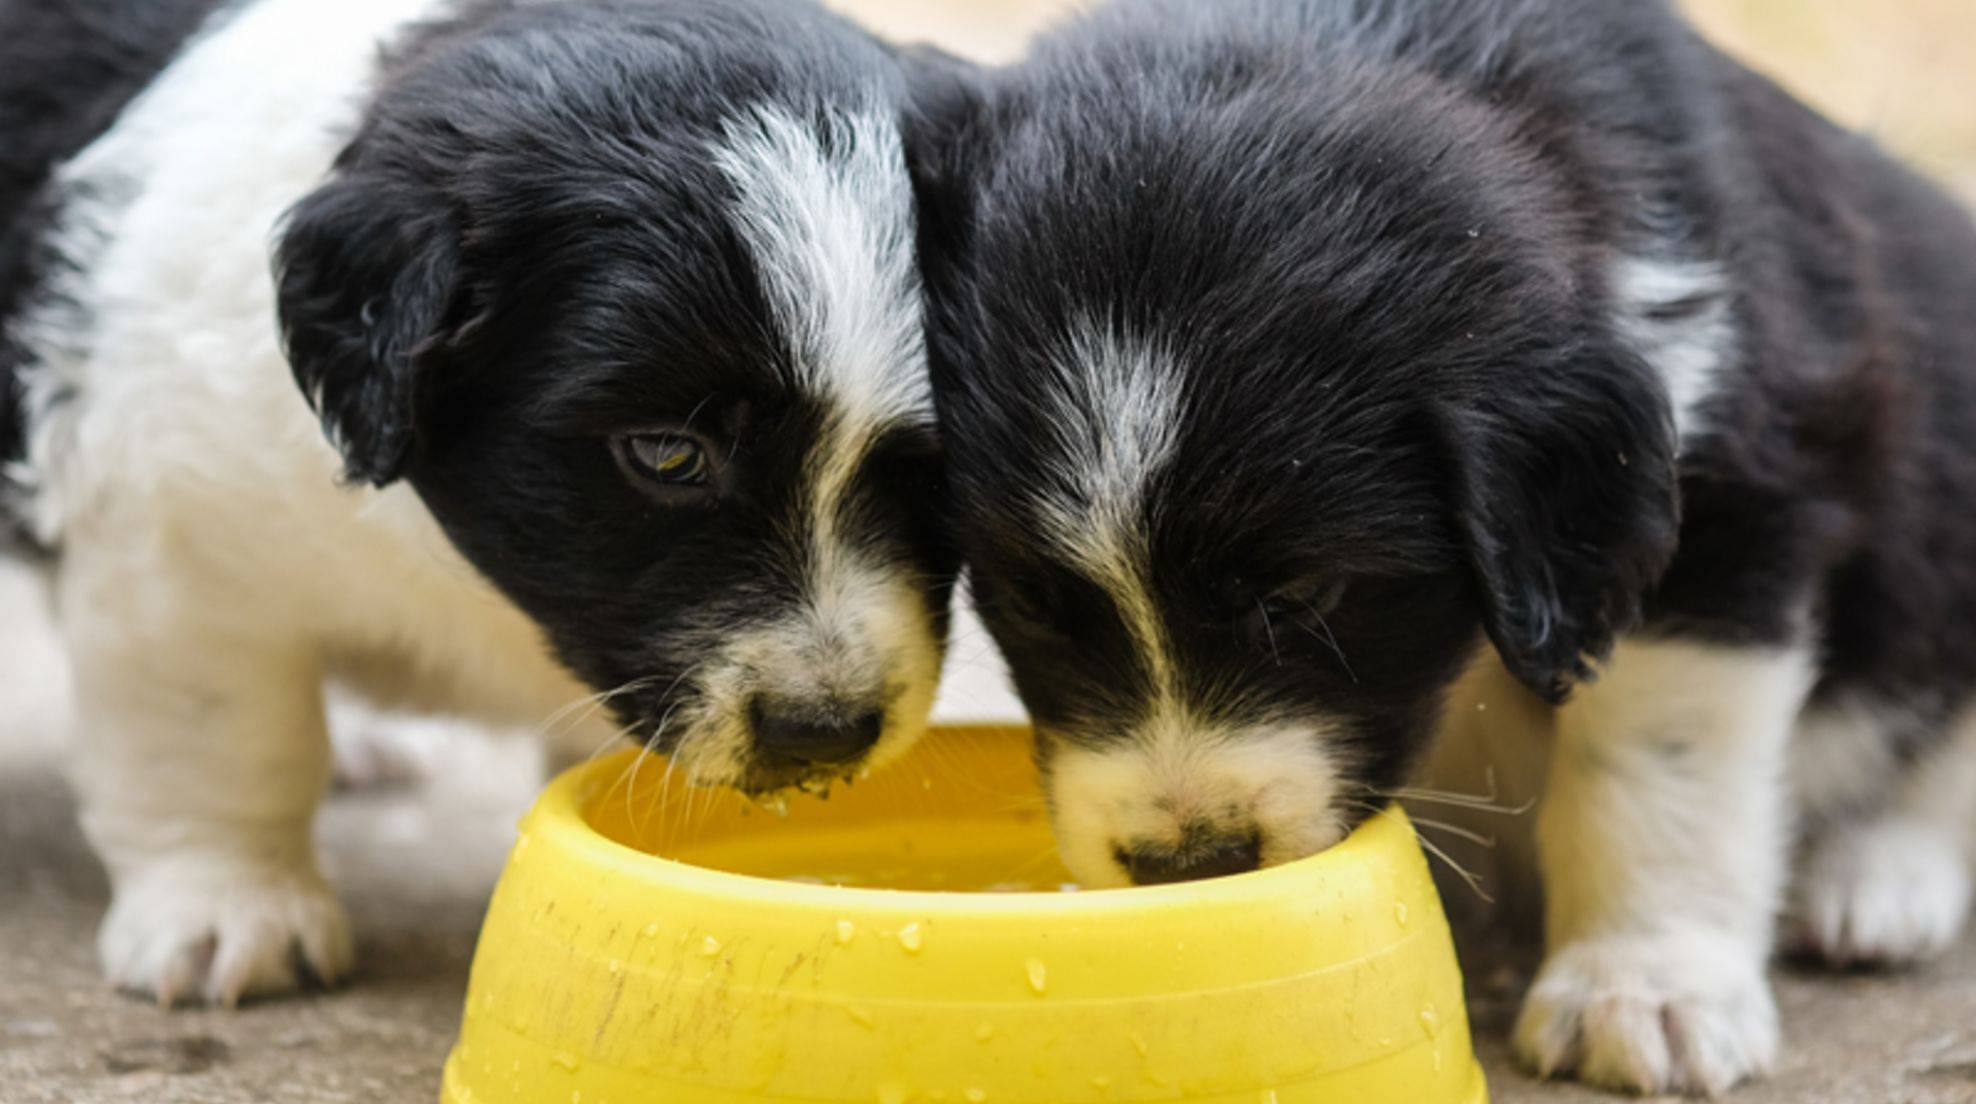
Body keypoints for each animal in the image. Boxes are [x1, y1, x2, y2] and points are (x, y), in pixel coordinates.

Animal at [0, 0, 956, 1007]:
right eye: (667, 454)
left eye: (939, 473)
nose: (825, 734)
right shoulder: (179, 548)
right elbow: (218, 741)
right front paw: (230, 910)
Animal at [916, 0, 1976, 1090]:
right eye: (1031, 601)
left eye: (1306, 594)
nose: (1191, 864)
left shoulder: (1732, 495)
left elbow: (1657, 762)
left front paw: (1645, 988)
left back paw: (1876, 879)